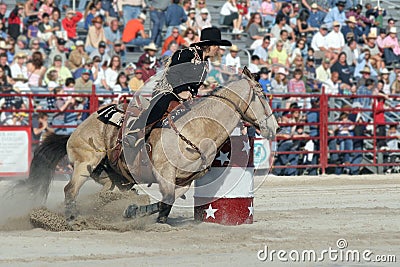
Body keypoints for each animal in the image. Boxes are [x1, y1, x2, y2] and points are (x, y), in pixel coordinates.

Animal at [21, 71, 278, 224]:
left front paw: (139, 213)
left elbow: (167, 203)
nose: (274, 127)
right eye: (263, 95)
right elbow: (166, 200)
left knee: (106, 192)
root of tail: (77, 129)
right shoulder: (165, 174)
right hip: (85, 164)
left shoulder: (184, 181)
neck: (196, 128)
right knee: (70, 190)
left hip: (112, 177)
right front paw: (139, 214)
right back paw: (72, 218)